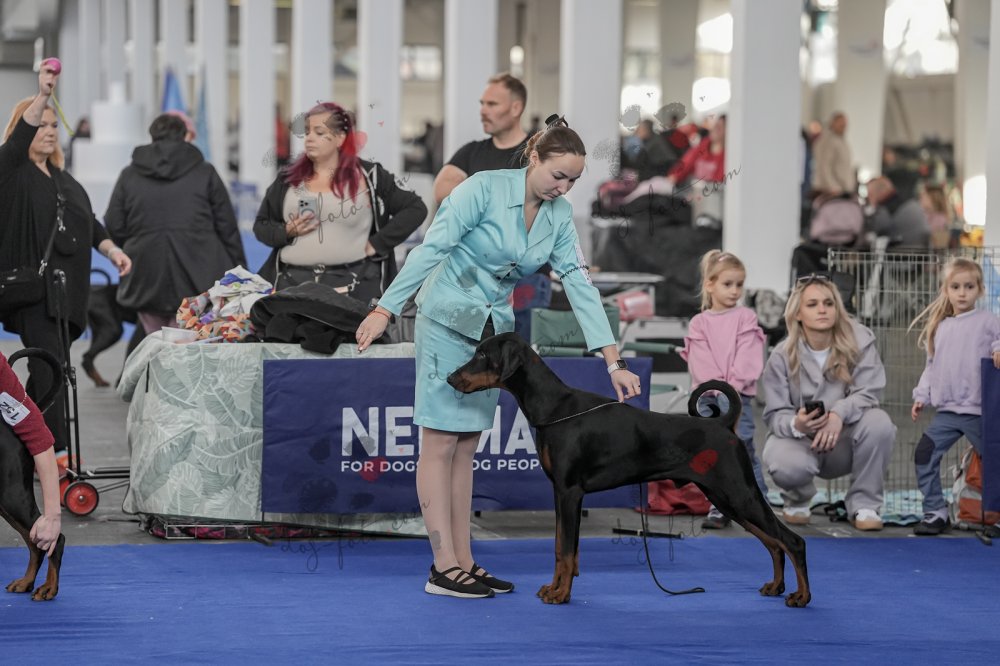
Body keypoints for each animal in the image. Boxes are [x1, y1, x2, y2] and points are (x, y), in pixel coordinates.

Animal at [448, 333, 810, 607]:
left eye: (482, 354)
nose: (450, 377)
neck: (555, 408)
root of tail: (723, 424)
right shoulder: (559, 493)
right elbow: (560, 548)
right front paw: (553, 588)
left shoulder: (570, 492)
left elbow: (567, 551)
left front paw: (561, 594)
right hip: (726, 498)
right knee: (772, 543)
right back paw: (775, 587)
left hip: (739, 493)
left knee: (791, 541)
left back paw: (801, 596)